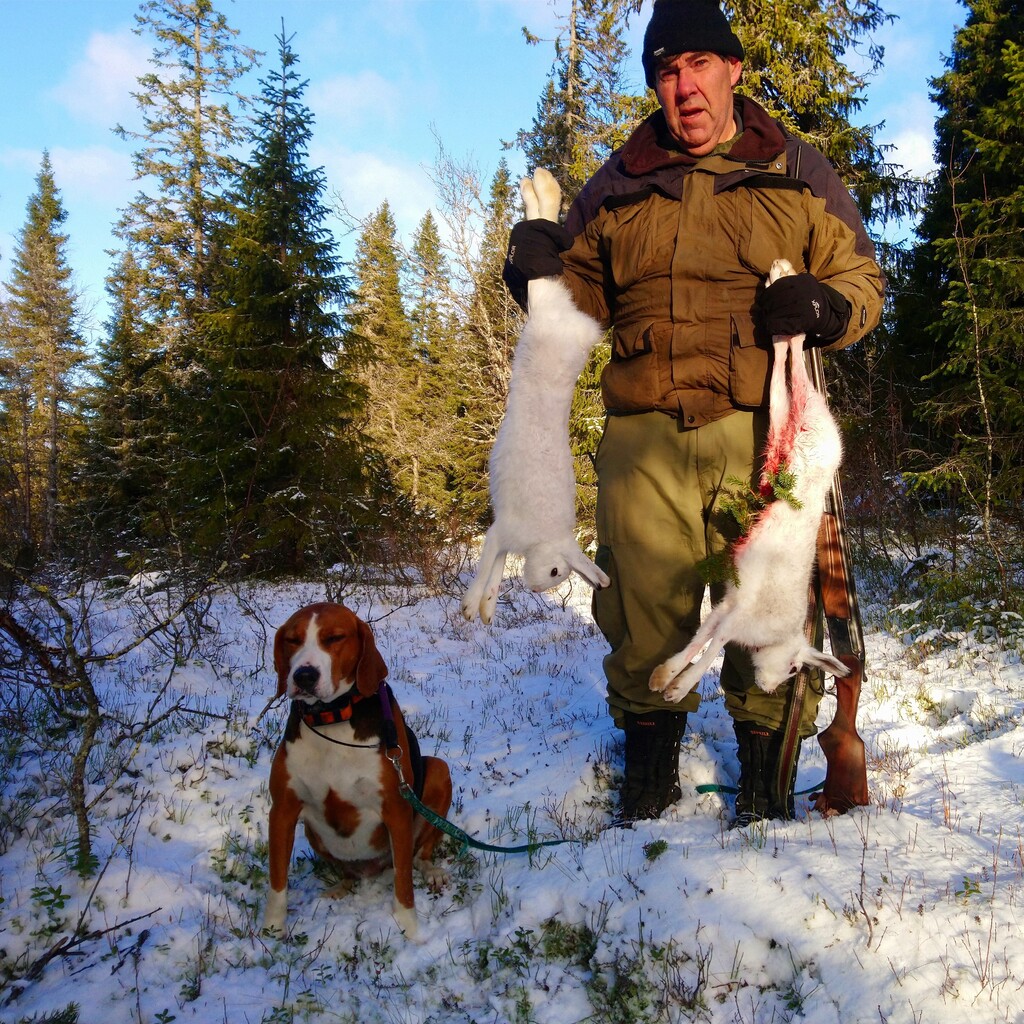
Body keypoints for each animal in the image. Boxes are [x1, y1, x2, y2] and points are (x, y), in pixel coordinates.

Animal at [264, 602, 452, 937]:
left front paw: (409, 928)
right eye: (292, 640)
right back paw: (339, 888)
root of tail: (371, 869)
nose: (304, 676)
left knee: (418, 855)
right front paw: (272, 929)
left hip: (439, 771)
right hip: (313, 832)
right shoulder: (282, 810)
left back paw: (432, 871)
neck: (332, 717)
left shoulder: (396, 809)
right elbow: (277, 879)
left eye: (335, 638)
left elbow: (404, 881)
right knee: (348, 873)